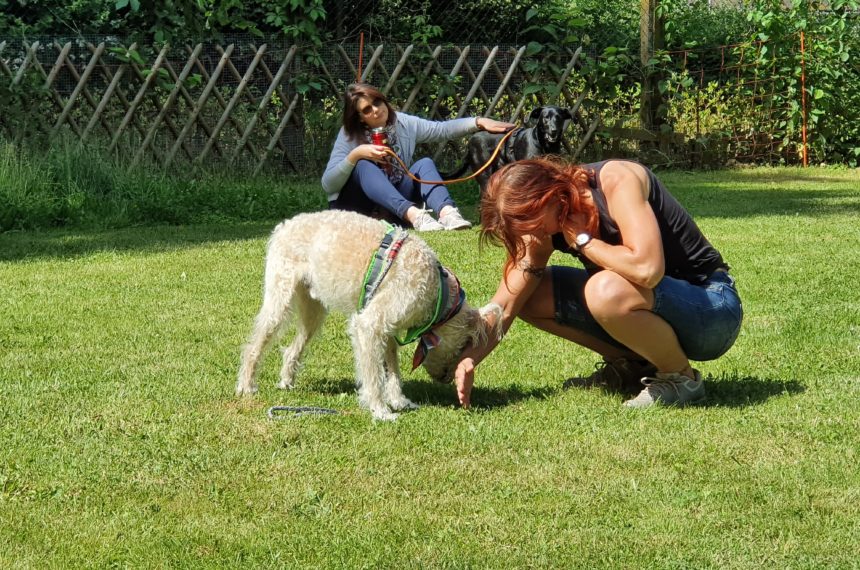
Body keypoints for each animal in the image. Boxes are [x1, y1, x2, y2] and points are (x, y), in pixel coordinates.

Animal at [237, 211, 504, 420]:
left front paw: (399, 401)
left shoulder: (388, 330)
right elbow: (374, 374)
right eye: (462, 348)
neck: (436, 292)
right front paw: (380, 410)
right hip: (279, 300)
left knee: (293, 349)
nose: (446, 378)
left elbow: (392, 370)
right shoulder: (369, 325)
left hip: (312, 312)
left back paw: (286, 381)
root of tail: (283, 226)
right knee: (254, 346)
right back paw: (247, 385)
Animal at [444, 106, 572, 193]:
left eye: (559, 118)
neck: (546, 146)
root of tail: (471, 139)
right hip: (484, 176)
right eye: (546, 118)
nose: (553, 130)